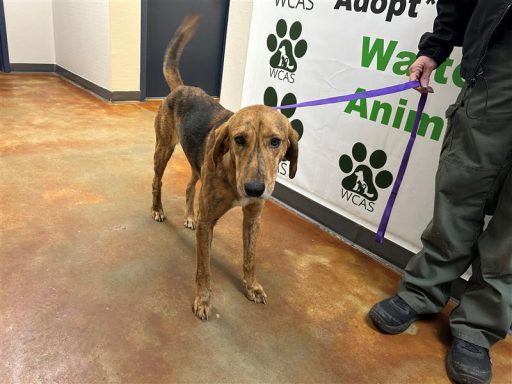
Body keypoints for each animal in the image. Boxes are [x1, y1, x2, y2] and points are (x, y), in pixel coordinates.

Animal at [150, 15, 298, 320]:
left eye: (276, 141)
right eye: (239, 139)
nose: (255, 189)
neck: (234, 172)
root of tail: (181, 88)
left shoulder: (253, 218)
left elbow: (250, 258)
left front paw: (252, 286)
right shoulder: (209, 222)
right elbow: (204, 269)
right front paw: (204, 300)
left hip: (197, 165)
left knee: (189, 186)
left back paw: (189, 216)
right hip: (164, 149)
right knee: (157, 181)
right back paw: (157, 210)